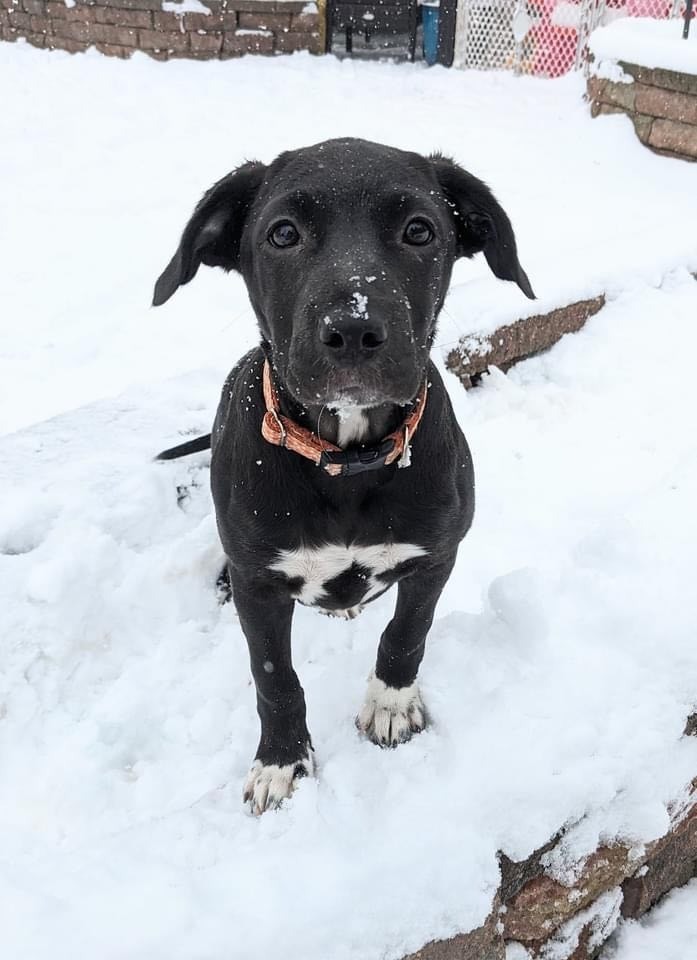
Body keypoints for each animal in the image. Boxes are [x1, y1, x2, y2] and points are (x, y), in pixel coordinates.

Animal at [154, 137, 532, 808]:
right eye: (283, 233)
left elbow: (407, 633)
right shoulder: (260, 588)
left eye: (419, 230)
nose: (353, 329)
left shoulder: (436, 555)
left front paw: (391, 706)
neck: (347, 461)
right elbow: (273, 676)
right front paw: (281, 761)